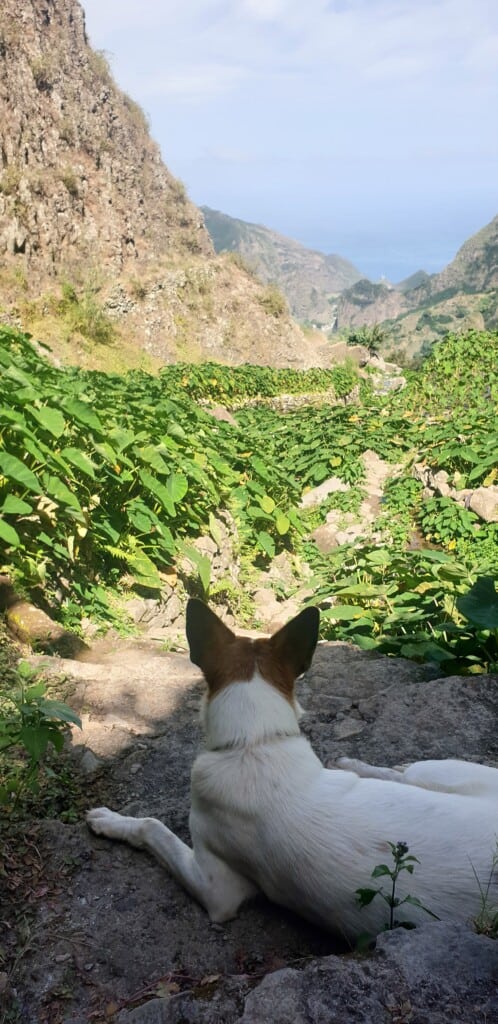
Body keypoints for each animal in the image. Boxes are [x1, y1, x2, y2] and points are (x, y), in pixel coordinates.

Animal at [88, 598, 498, 942]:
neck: (254, 741)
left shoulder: (217, 888)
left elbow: (151, 827)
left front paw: (110, 821)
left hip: (447, 770)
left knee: (408, 773)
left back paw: (363, 764)